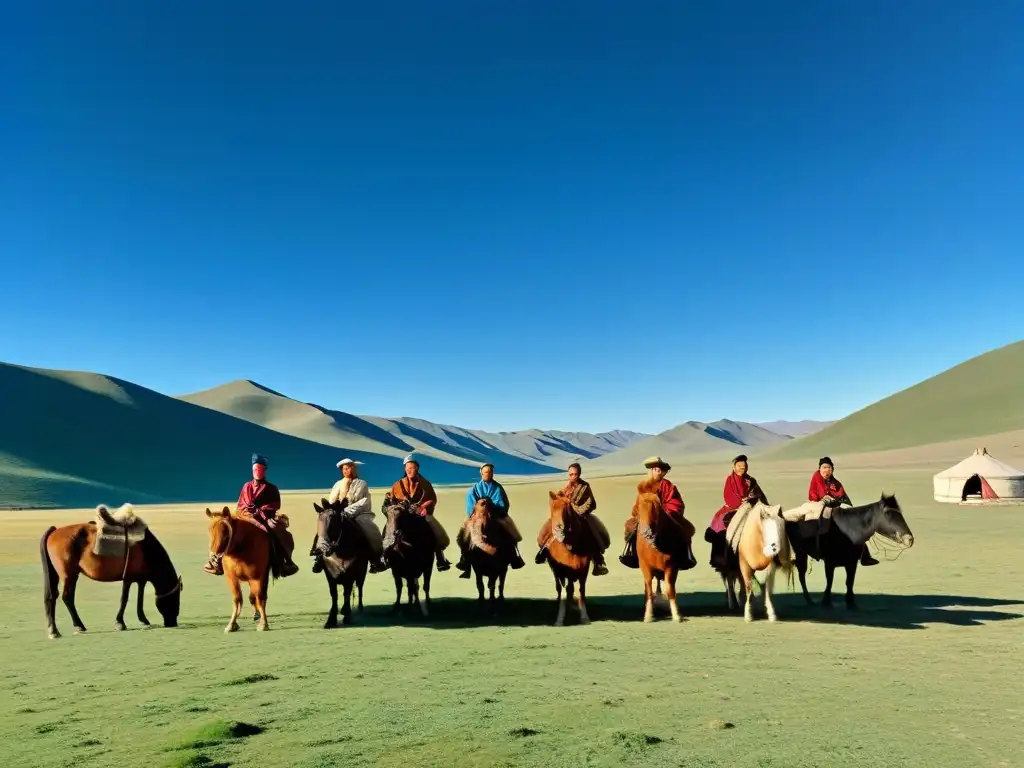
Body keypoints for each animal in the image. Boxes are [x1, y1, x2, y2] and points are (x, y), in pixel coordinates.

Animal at [39, 505, 182, 643]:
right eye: (176, 598)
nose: (172, 623)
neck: (147, 549)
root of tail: (54, 530)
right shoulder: (128, 578)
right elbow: (124, 599)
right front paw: (120, 623)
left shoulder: (141, 579)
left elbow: (140, 598)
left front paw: (144, 620)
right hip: (68, 574)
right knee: (65, 597)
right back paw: (68, 628)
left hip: (67, 574)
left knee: (57, 597)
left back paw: (62, 629)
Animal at [315, 499, 372, 630]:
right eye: (319, 519)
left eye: (332, 519)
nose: (321, 549)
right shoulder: (329, 574)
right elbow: (334, 594)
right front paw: (331, 619)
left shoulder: (350, 573)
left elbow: (347, 592)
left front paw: (347, 616)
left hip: (362, 572)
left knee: (360, 587)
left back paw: (359, 608)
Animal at [540, 493, 598, 626]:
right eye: (552, 508)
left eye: (566, 509)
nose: (558, 529)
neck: (571, 546)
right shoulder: (562, 571)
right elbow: (565, 590)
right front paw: (560, 619)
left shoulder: (583, 569)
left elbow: (581, 590)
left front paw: (584, 617)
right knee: (561, 588)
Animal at [630, 481, 696, 626]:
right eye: (637, 507)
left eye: (656, 507)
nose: (646, 532)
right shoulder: (645, 567)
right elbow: (649, 591)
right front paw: (648, 616)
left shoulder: (671, 567)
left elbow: (670, 591)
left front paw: (676, 615)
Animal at [786, 495, 917, 610]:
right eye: (888, 514)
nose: (909, 539)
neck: (849, 529)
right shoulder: (829, 562)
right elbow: (830, 581)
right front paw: (826, 602)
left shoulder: (852, 563)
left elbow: (849, 582)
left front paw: (851, 603)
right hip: (800, 552)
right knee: (802, 575)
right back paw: (810, 600)